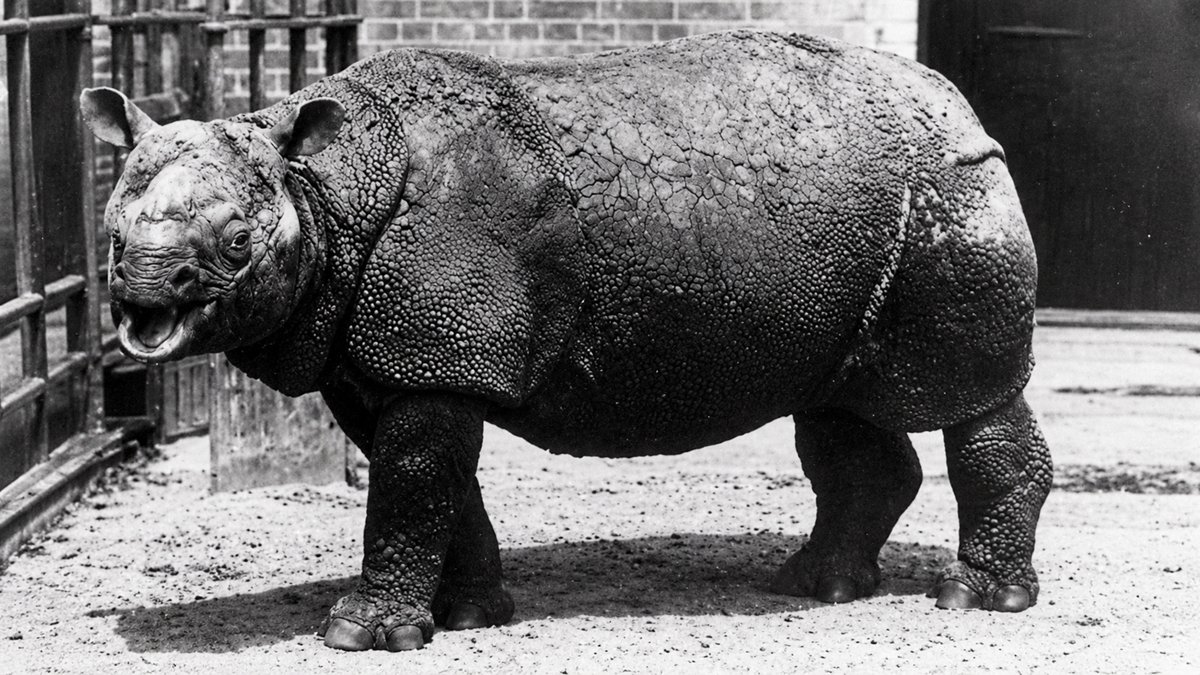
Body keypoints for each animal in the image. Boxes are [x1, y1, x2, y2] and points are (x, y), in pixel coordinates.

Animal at [81, 30, 1052, 652]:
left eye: (237, 244)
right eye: (112, 232)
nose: (142, 292)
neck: (324, 188)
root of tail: (961, 107)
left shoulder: (436, 358)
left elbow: (411, 484)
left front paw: (360, 633)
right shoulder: (395, 363)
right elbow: (439, 485)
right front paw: (471, 615)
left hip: (951, 190)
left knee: (970, 401)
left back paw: (975, 599)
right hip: (859, 223)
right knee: (835, 406)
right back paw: (813, 584)